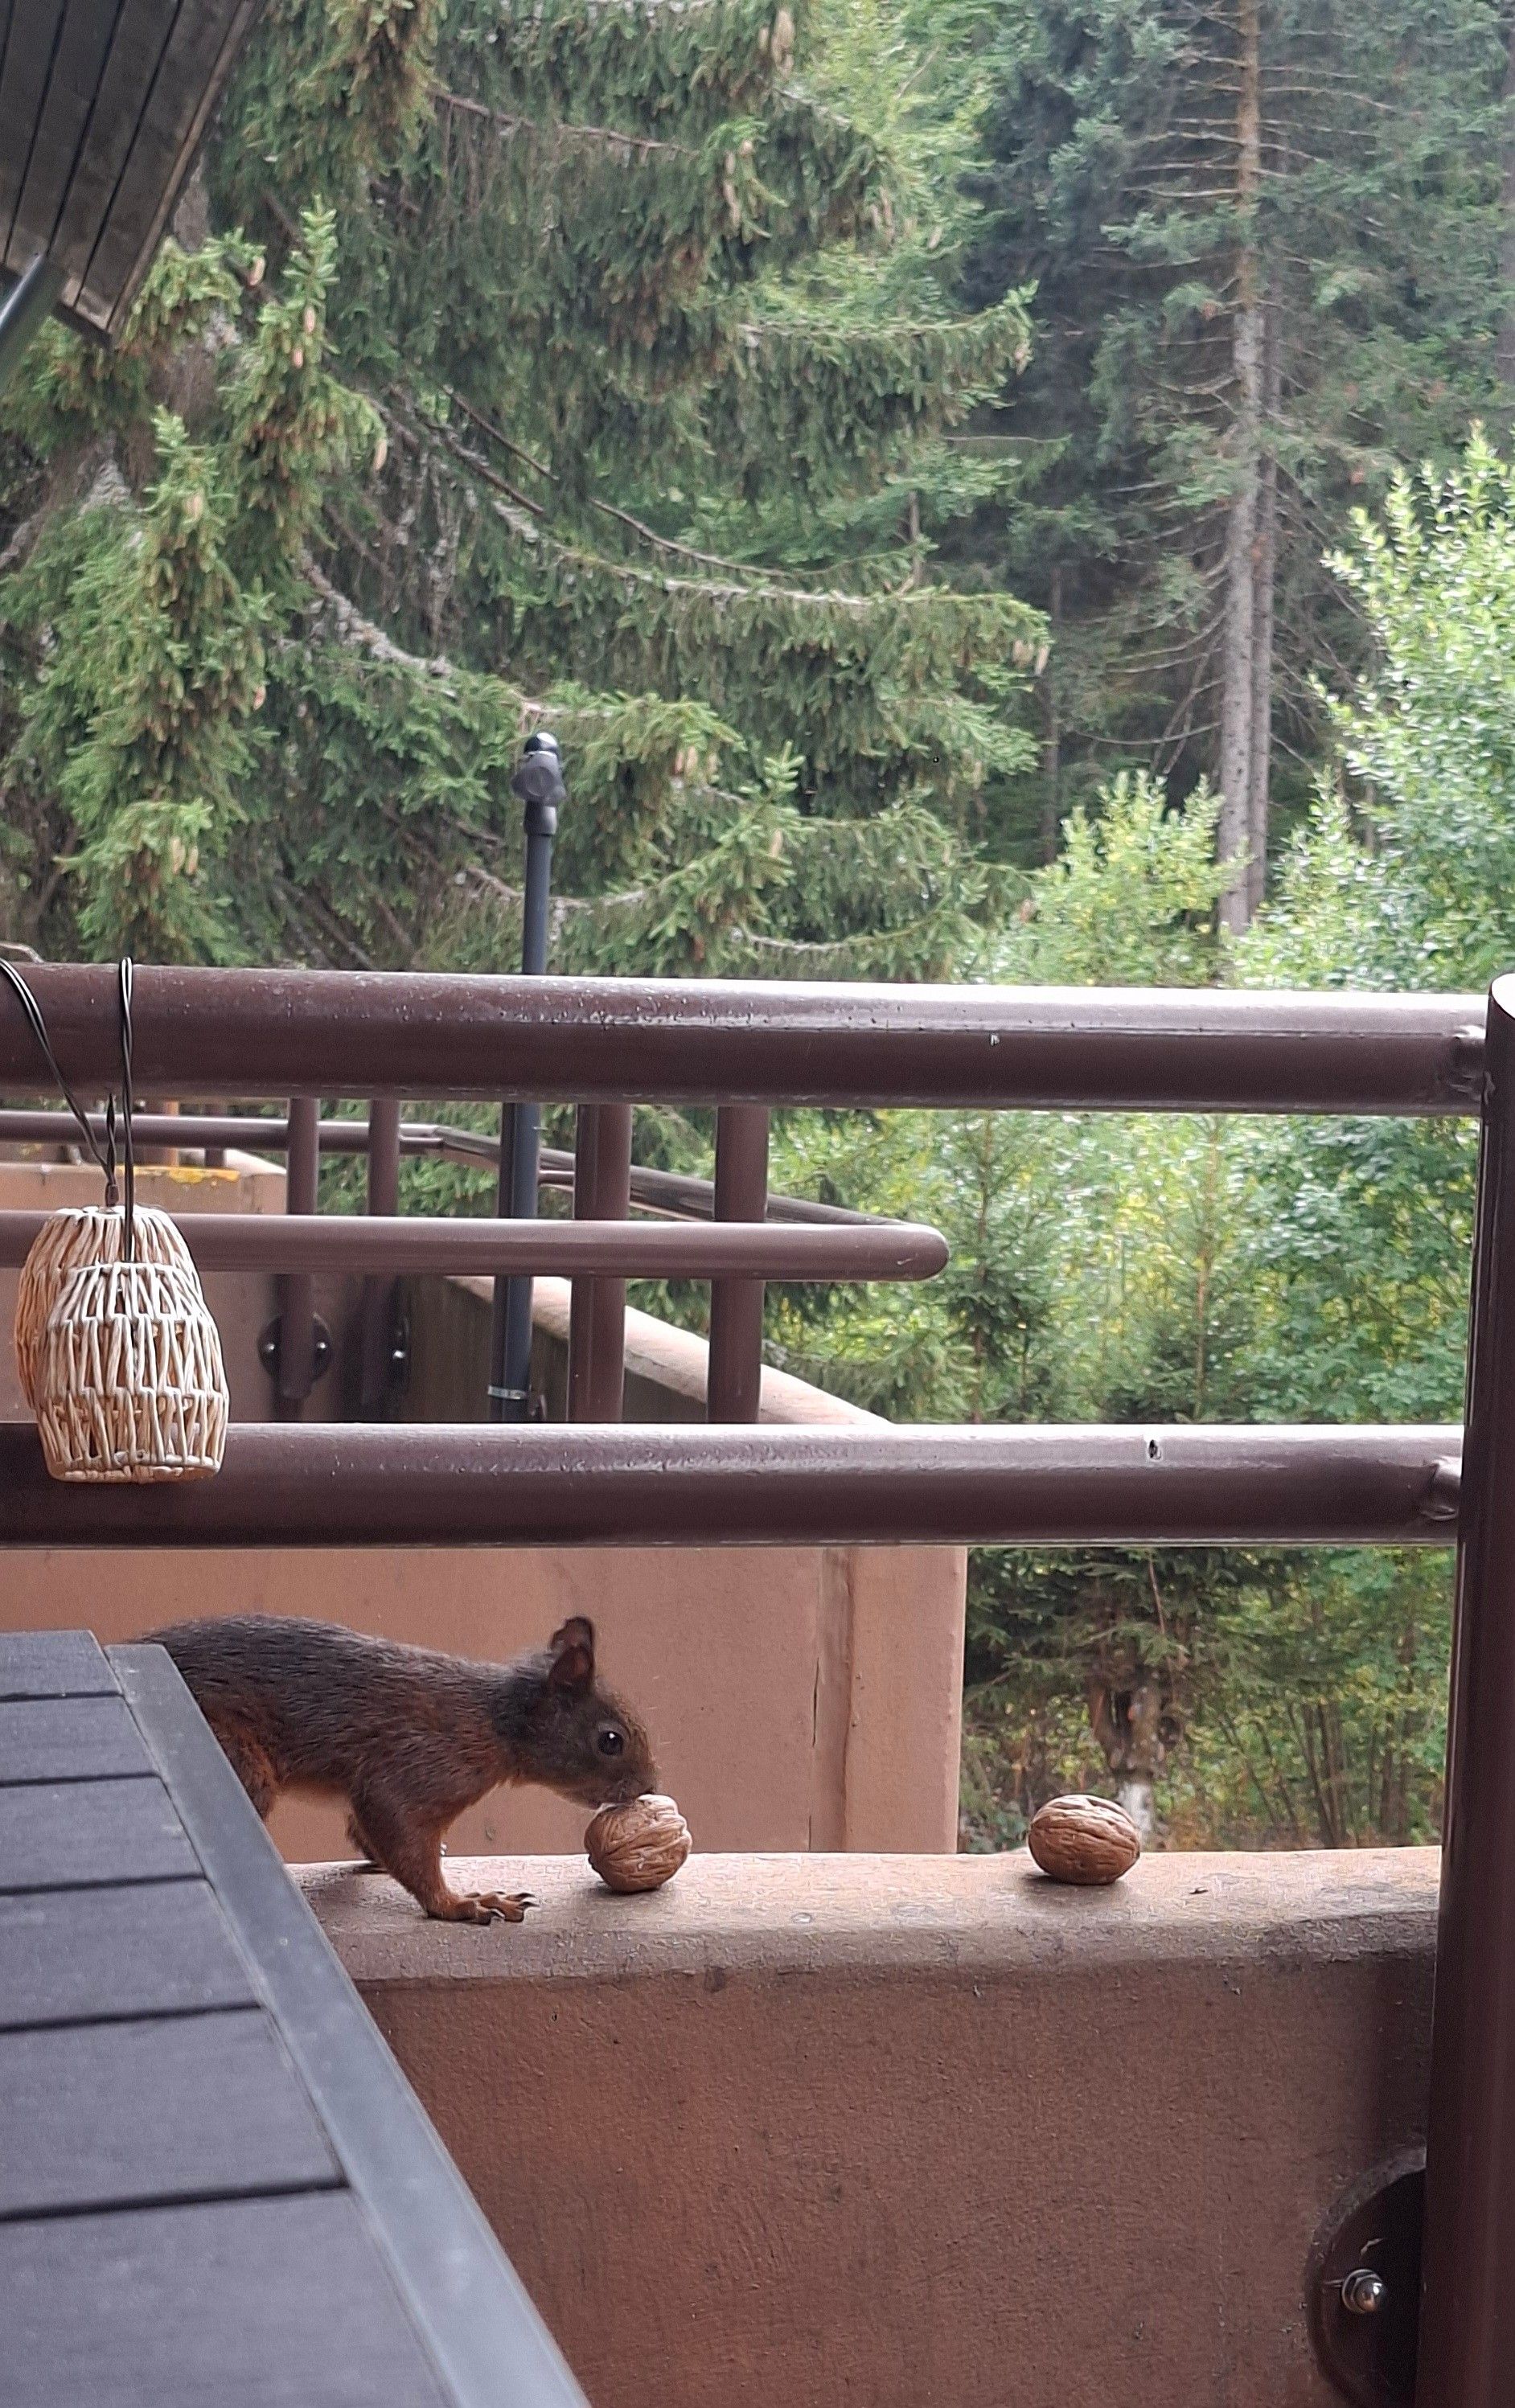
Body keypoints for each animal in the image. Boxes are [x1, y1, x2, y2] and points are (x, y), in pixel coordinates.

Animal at [146, 1613, 658, 1924]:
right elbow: (401, 1833)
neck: (495, 1722)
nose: (649, 1785)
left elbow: (365, 1831)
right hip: (239, 1762)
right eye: (610, 1741)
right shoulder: (419, 1766)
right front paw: (462, 1904)